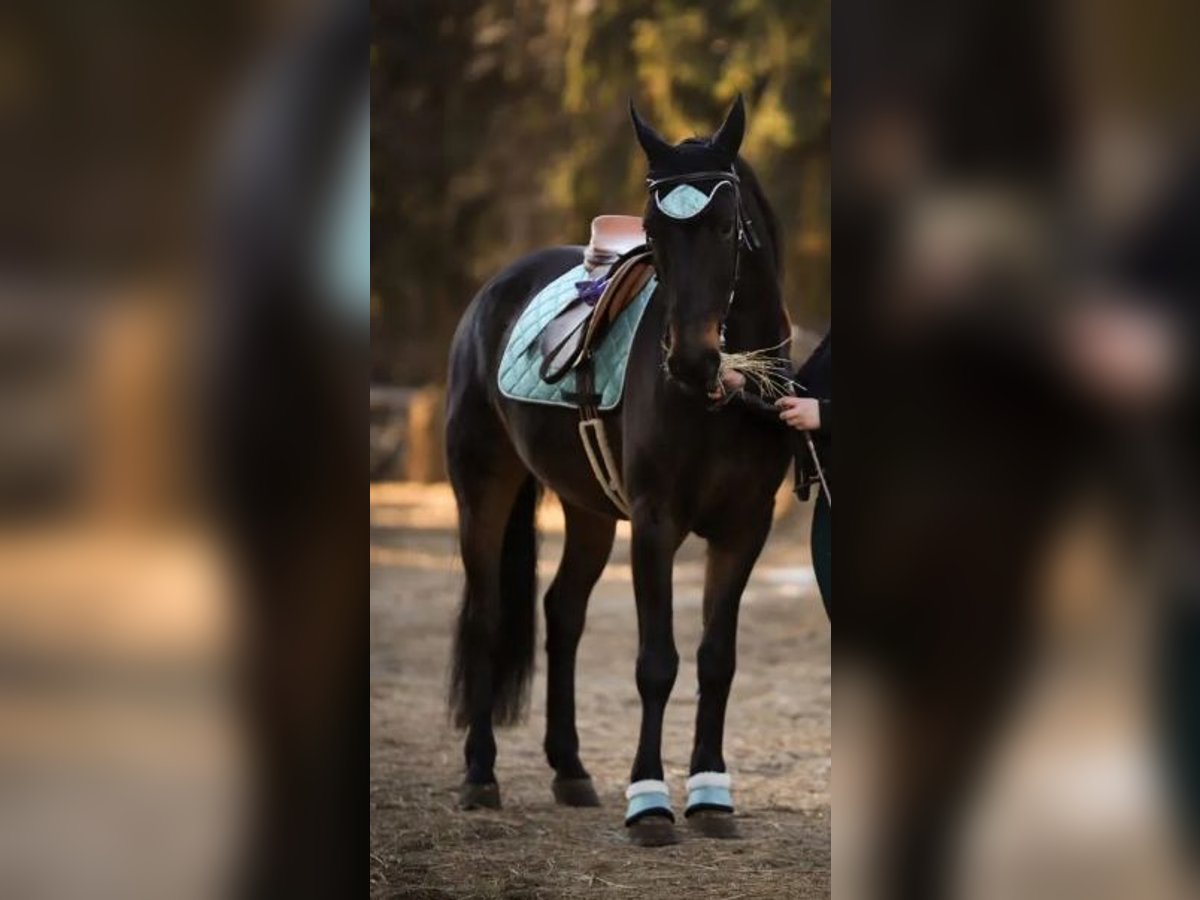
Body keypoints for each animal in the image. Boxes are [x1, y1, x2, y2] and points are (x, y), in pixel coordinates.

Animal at [446, 98, 792, 844]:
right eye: (654, 232)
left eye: (725, 226)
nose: (690, 359)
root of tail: (493, 290)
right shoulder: (656, 525)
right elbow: (657, 663)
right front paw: (651, 803)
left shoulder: (744, 529)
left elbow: (717, 660)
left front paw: (711, 796)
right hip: (483, 486)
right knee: (488, 616)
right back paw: (480, 774)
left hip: (588, 511)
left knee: (562, 613)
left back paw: (571, 770)